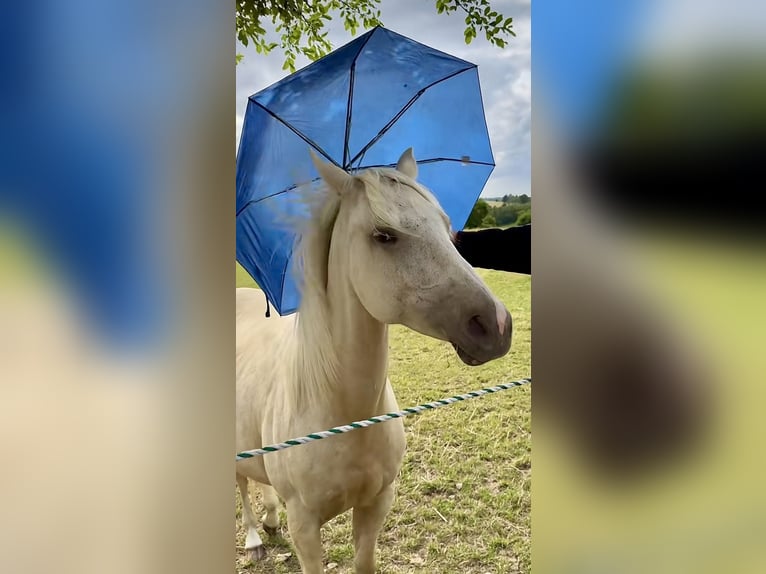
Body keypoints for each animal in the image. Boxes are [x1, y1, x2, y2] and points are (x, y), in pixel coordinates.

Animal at [236, 148, 513, 573]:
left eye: (448, 229)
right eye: (384, 235)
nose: (496, 325)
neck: (344, 415)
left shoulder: (376, 504)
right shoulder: (305, 526)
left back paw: (268, 520)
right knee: (242, 485)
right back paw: (253, 538)